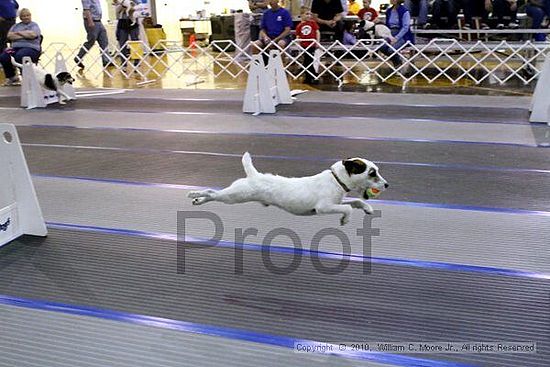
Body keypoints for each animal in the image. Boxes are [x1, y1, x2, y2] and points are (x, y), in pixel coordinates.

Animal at [188, 152, 390, 226]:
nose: (387, 185)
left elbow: (356, 201)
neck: (336, 180)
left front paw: (368, 208)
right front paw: (345, 220)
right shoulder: (324, 208)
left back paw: (198, 200)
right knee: (212, 193)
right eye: (372, 173)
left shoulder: (337, 202)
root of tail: (254, 175)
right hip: (234, 196)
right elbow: (348, 208)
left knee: (213, 195)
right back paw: (195, 194)